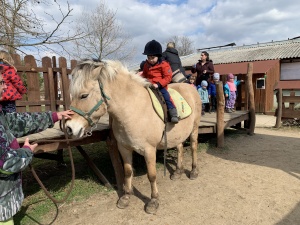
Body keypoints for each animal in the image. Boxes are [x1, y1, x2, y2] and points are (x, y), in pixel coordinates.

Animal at [65, 59, 202, 214]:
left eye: (84, 95)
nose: (69, 128)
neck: (134, 109)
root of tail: (190, 86)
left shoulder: (149, 150)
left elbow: (151, 175)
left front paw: (153, 201)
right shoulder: (124, 148)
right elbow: (127, 172)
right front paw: (125, 198)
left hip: (194, 129)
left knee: (193, 147)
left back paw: (194, 171)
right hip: (178, 133)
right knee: (179, 147)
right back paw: (178, 172)